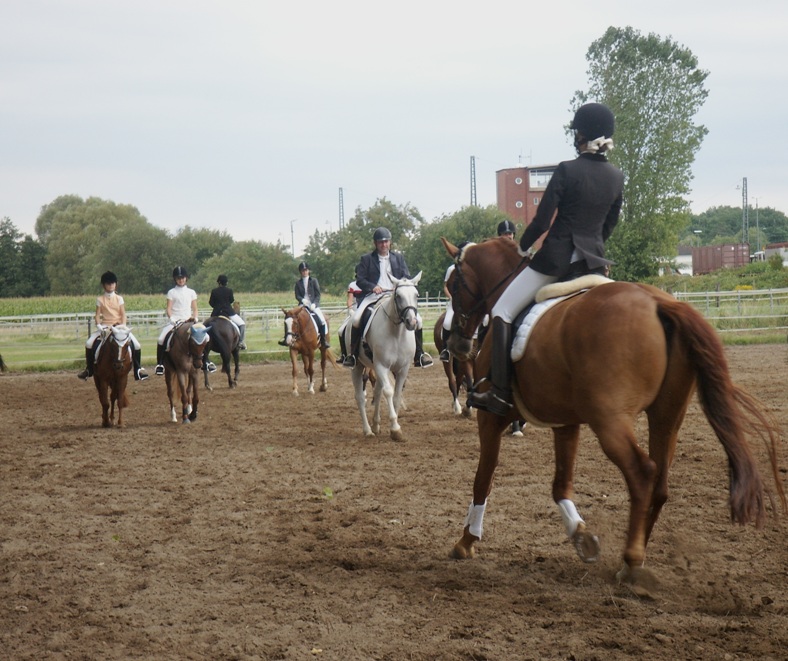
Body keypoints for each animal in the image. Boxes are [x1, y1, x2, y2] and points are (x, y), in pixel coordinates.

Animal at [344, 270, 422, 440]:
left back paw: (375, 425)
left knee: (377, 392)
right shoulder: (381, 366)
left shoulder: (403, 369)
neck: (396, 333)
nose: (412, 322)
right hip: (358, 367)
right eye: (398, 296)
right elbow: (388, 392)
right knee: (361, 397)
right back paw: (368, 430)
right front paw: (395, 428)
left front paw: (394, 426)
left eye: (416, 295)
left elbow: (397, 395)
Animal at [440, 237, 784, 592]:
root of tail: (658, 303)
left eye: (455, 284)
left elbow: (483, 479)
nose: (456, 343)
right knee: (659, 483)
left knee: (642, 472)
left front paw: (466, 541)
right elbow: (560, 485)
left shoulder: (491, 418)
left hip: (610, 421)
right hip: (667, 417)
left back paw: (631, 562)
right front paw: (581, 536)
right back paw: (634, 557)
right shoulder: (565, 422)